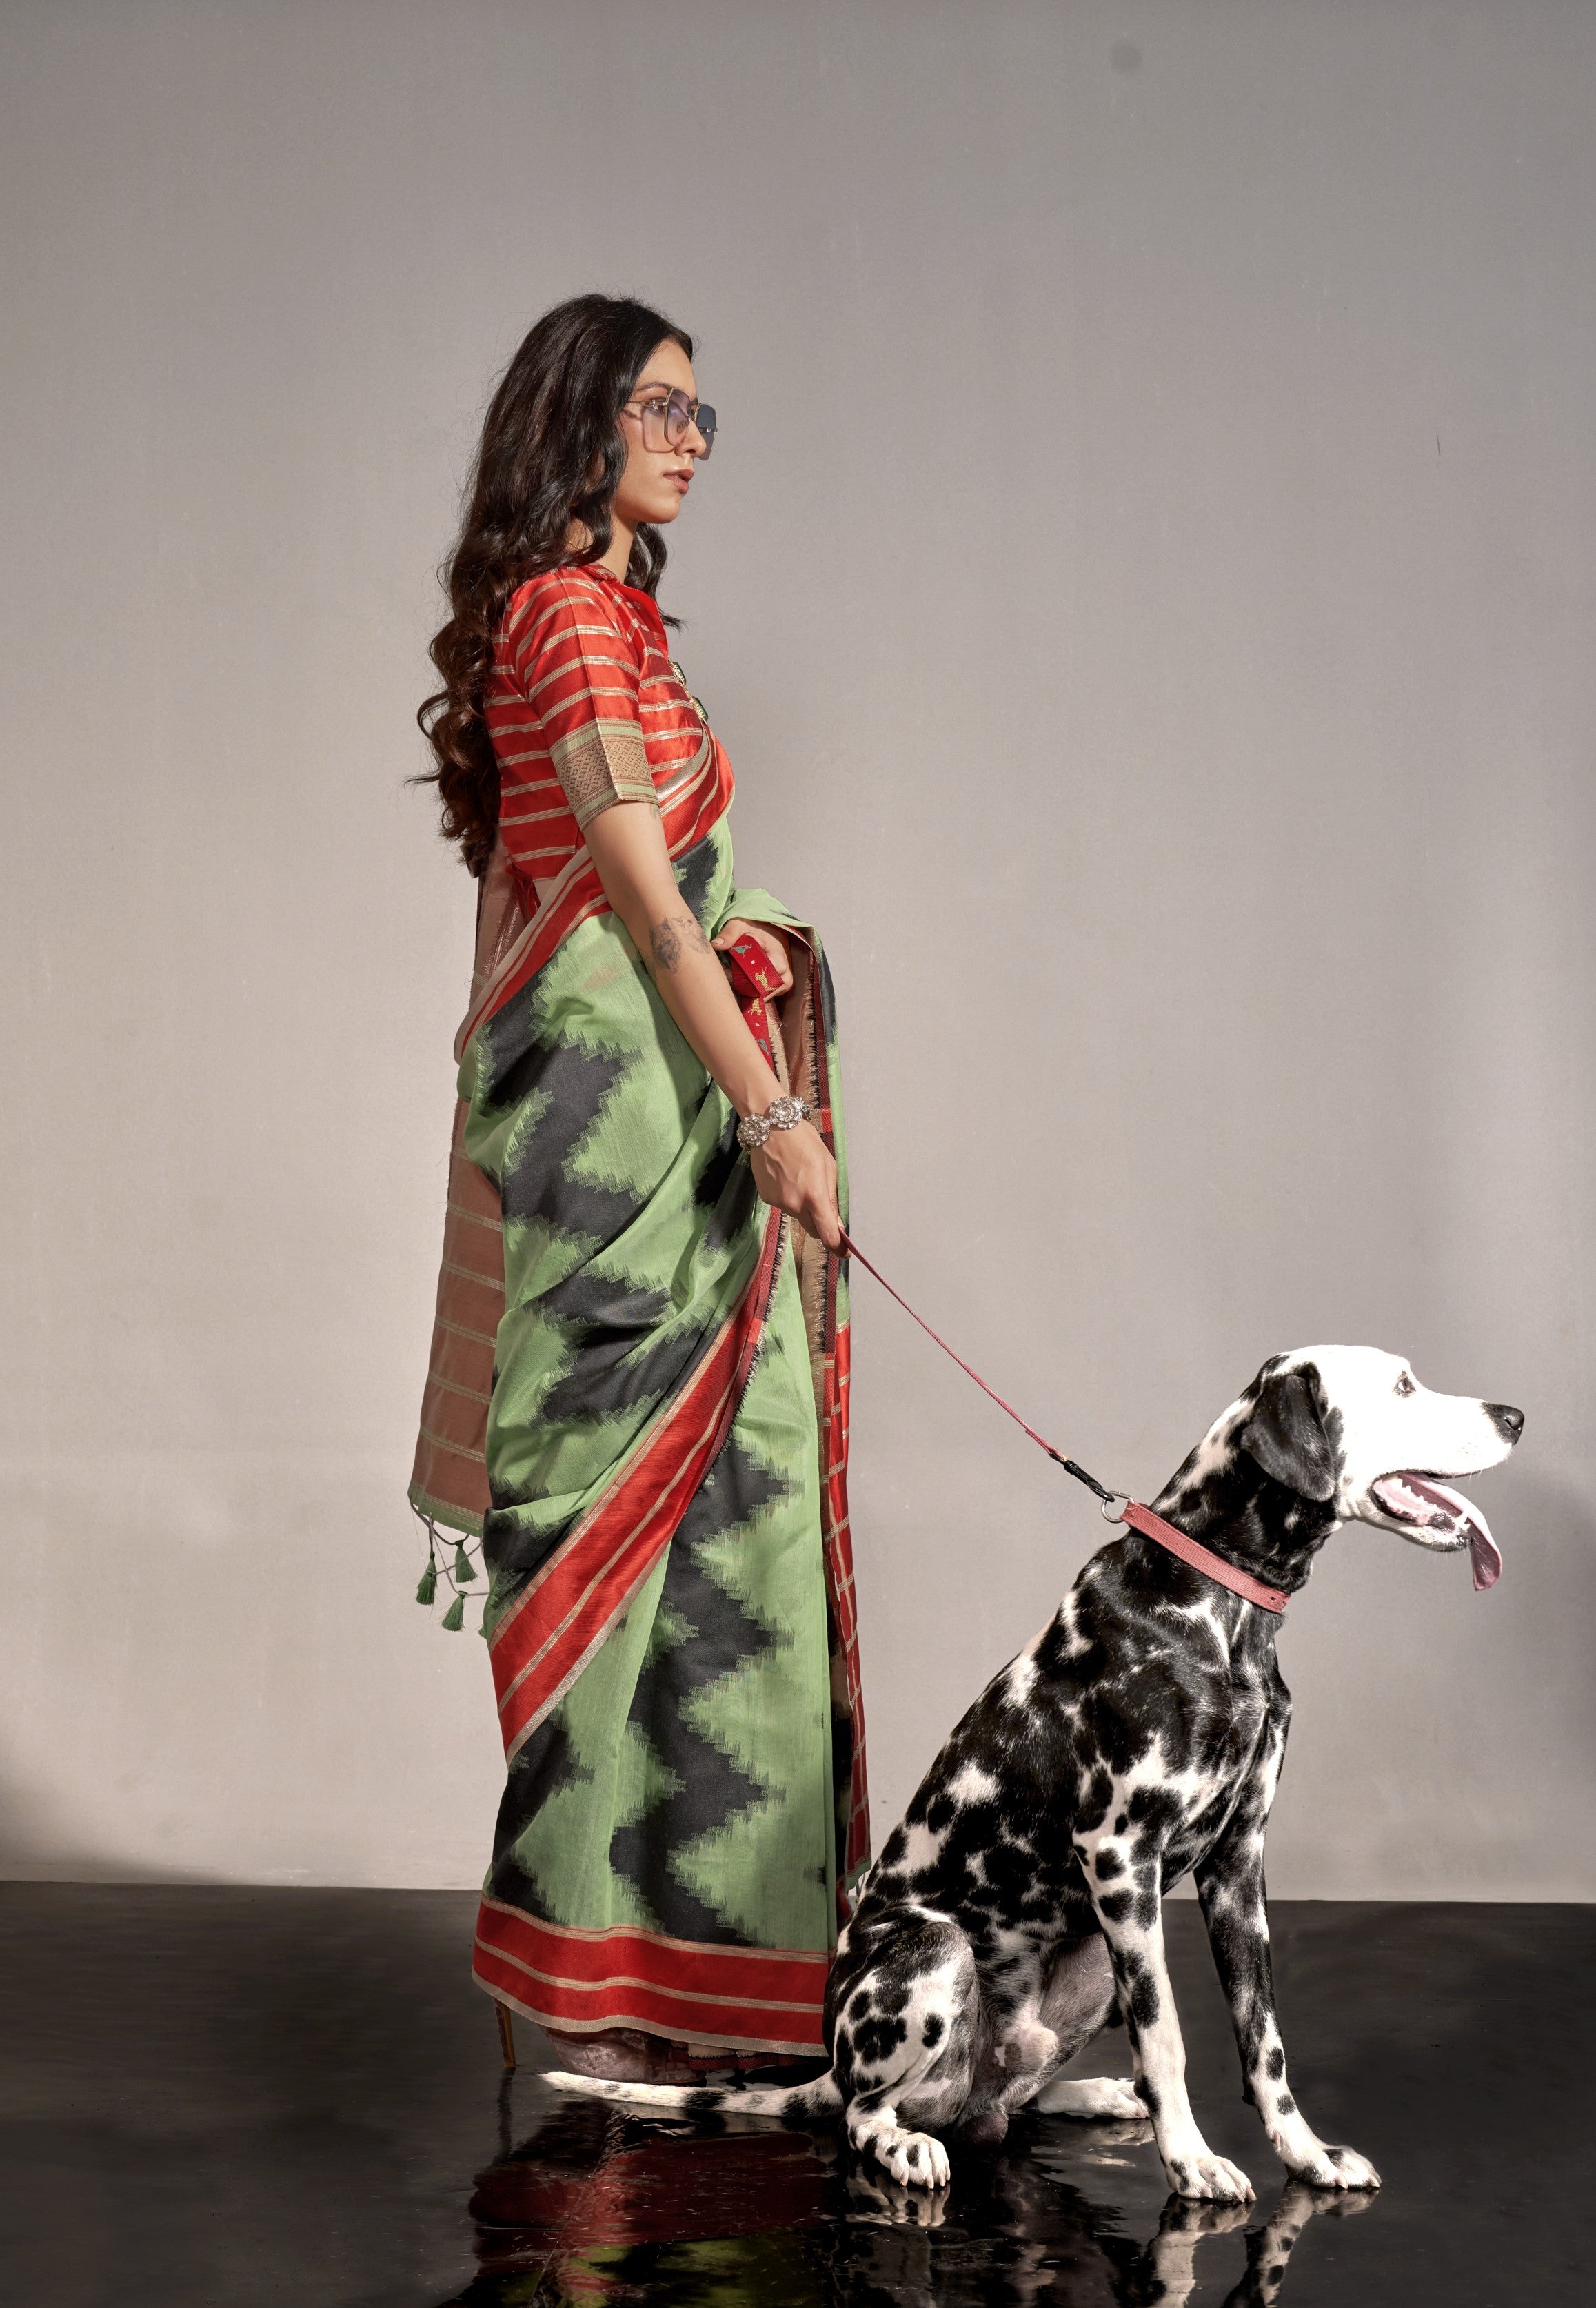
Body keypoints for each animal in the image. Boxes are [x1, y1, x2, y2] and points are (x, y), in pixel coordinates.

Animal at [547, 1348, 1524, 2197]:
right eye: (1401, 1385)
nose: (1515, 1416)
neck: (1218, 1609)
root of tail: (827, 2064)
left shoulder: (1237, 1865)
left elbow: (1263, 2042)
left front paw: (1307, 2157)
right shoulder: (1120, 1859)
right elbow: (1168, 2038)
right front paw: (1192, 2163)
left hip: (1089, 1962)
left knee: (1003, 2103)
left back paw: (1089, 2095)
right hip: (940, 1951)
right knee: (871, 2116)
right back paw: (908, 2144)